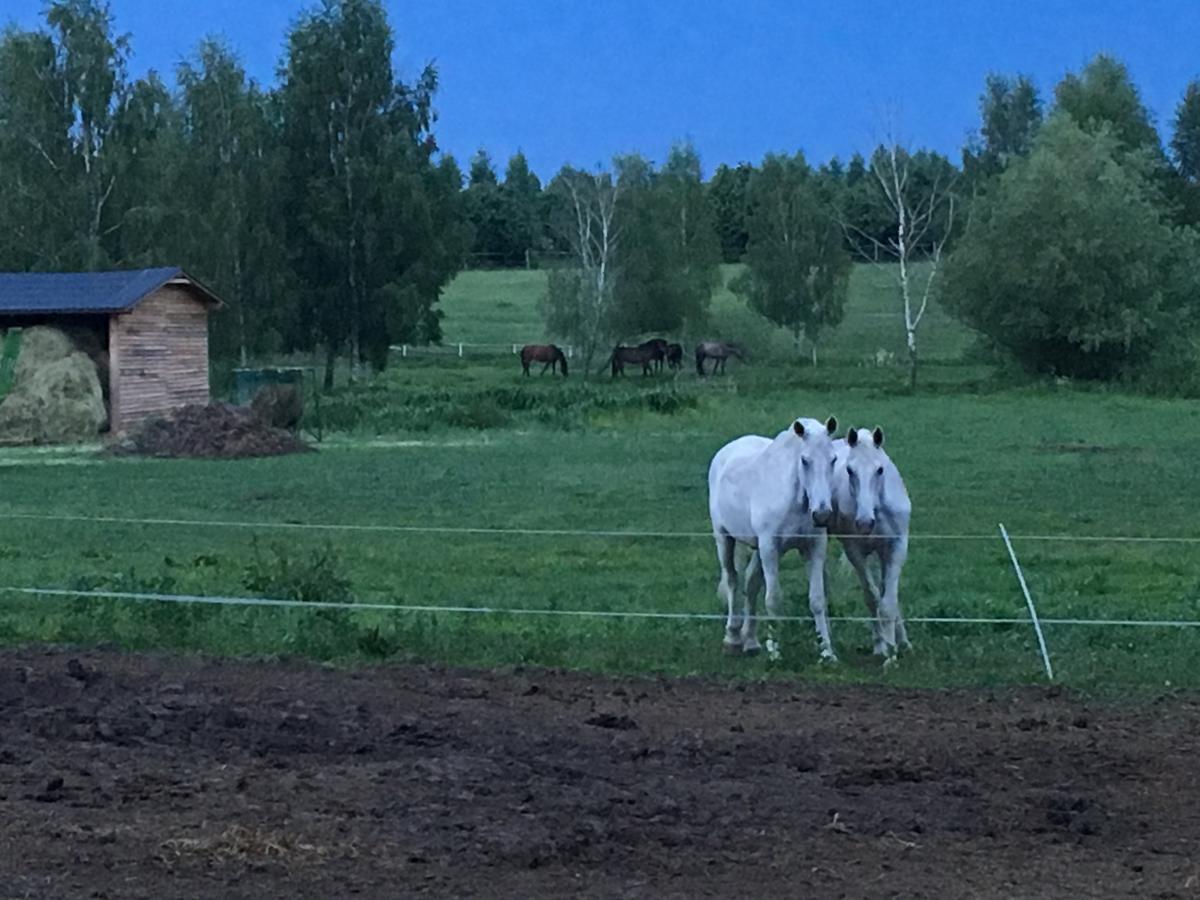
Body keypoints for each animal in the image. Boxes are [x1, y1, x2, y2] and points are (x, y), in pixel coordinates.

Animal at [705, 415, 840, 662]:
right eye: (805, 460)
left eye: (833, 459)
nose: (822, 514)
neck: (794, 500)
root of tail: (726, 451)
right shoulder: (770, 548)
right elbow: (774, 600)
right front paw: (776, 652)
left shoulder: (814, 548)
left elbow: (817, 600)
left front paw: (827, 652)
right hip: (724, 538)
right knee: (732, 579)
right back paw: (733, 637)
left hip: (757, 548)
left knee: (751, 584)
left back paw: (750, 641)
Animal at [830, 427, 912, 667]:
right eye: (850, 470)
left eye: (880, 469)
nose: (865, 522)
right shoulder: (855, 551)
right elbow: (872, 598)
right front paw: (884, 648)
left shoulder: (897, 548)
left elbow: (888, 603)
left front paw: (893, 652)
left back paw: (903, 642)